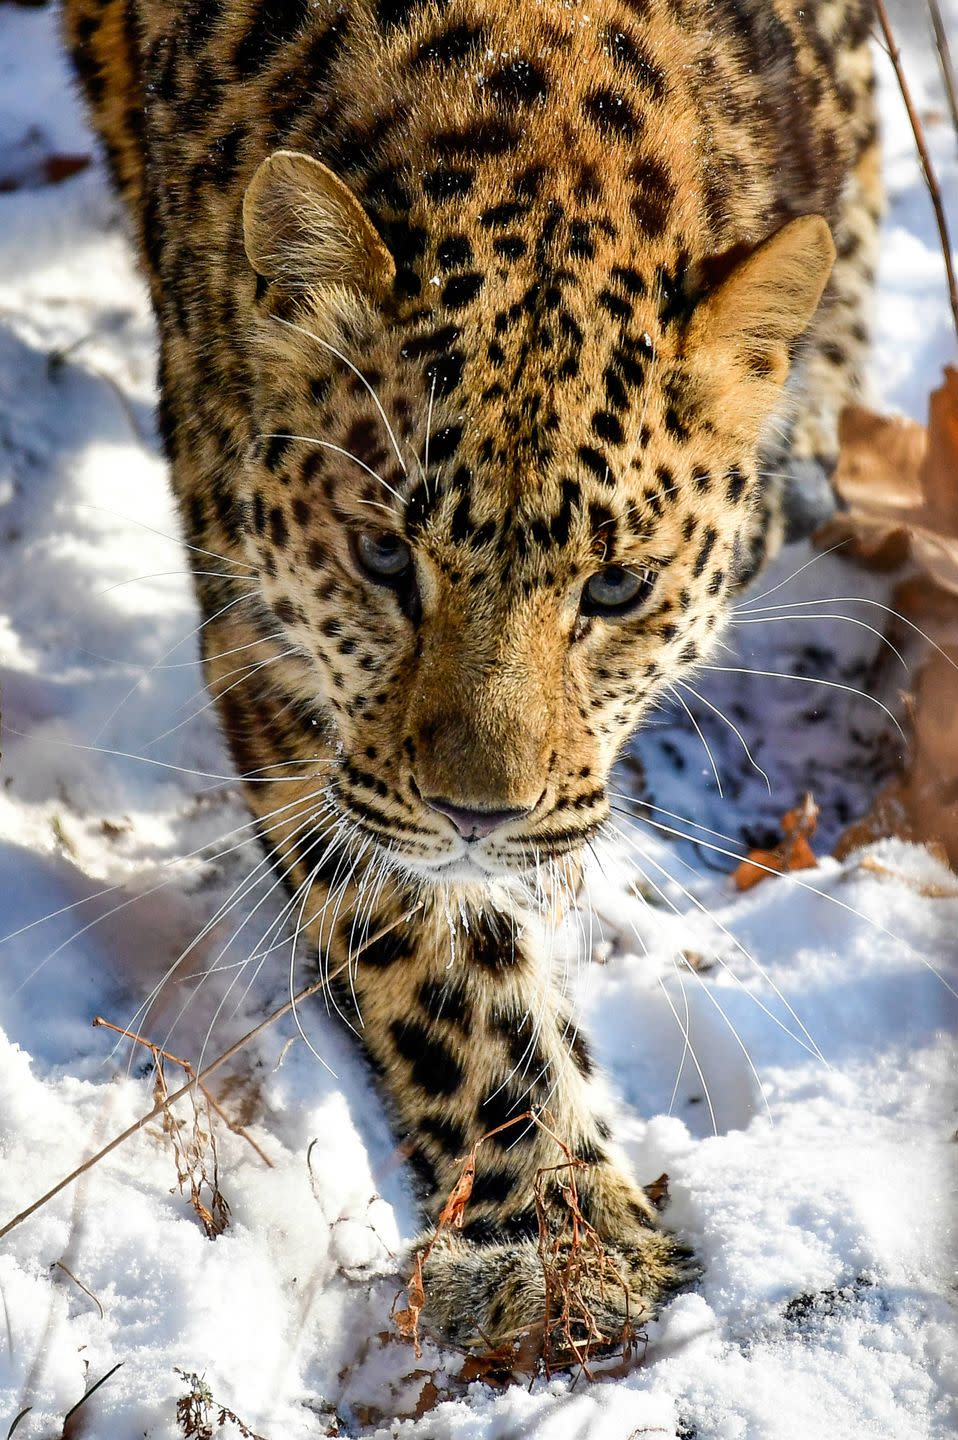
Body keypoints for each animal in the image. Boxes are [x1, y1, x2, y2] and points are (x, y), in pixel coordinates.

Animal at [61, 0, 881, 1347]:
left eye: (616, 588)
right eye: (385, 556)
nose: (476, 817)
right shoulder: (278, 661)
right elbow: (438, 964)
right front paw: (555, 1231)